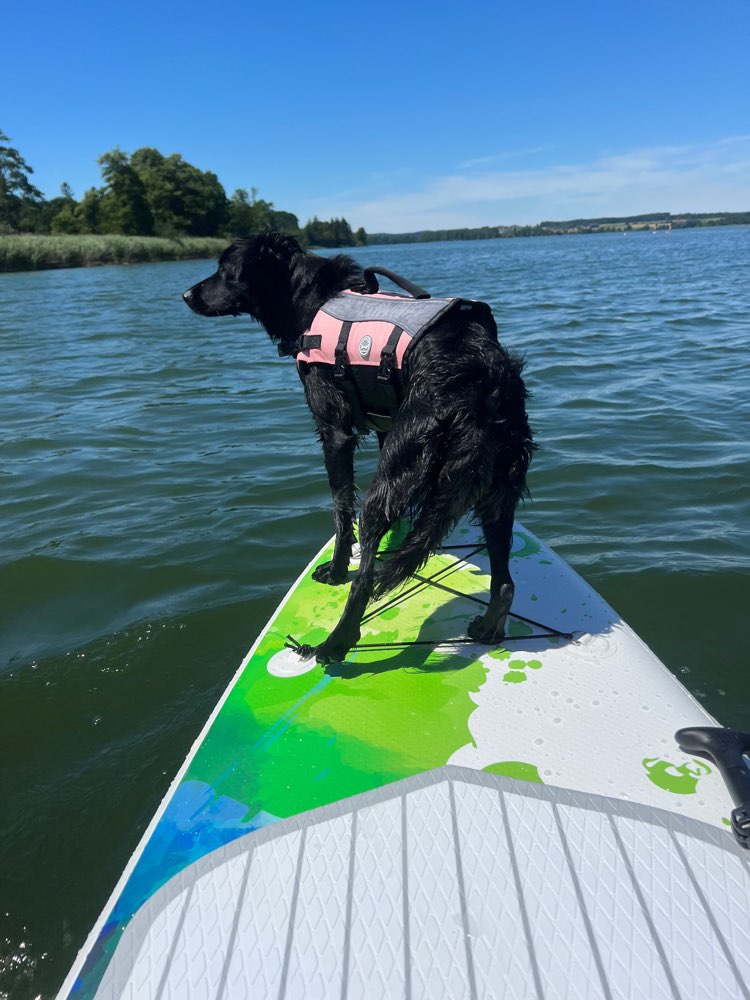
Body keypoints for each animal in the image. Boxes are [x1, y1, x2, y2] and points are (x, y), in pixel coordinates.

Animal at [184, 233, 536, 664]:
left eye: (225, 271)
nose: (186, 294)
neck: (311, 300)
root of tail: (487, 382)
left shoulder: (334, 431)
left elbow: (339, 508)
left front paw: (335, 570)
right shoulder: (385, 426)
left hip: (397, 471)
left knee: (365, 578)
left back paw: (335, 642)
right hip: (497, 490)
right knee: (504, 581)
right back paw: (489, 625)